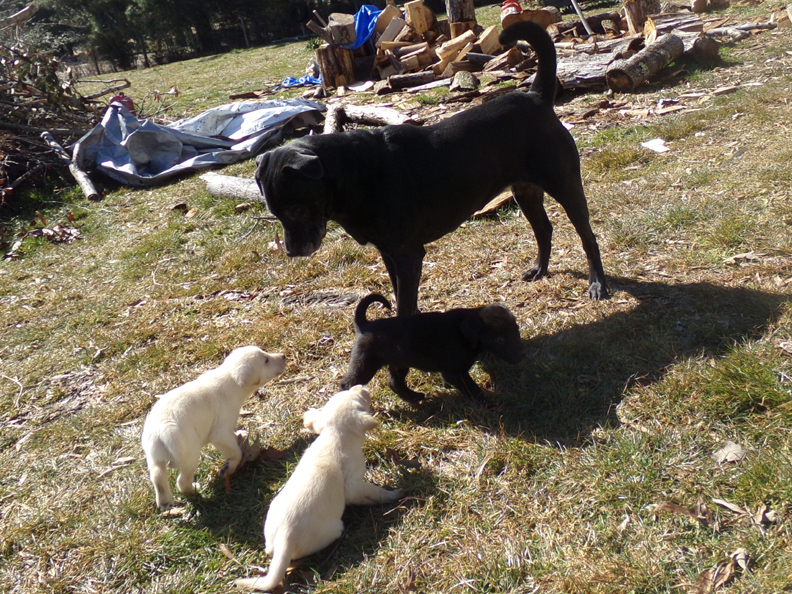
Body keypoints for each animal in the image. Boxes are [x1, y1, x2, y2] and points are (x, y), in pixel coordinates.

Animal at [141, 346, 286, 509]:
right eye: (266, 360)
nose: (284, 356)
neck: (230, 381)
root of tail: (160, 431)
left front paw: (241, 434)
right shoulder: (220, 433)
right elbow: (235, 452)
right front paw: (229, 467)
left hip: (154, 457)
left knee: (158, 477)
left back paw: (164, 502)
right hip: (190, 454)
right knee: (182, 481)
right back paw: (194, 490)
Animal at [239, 385, 402, 592]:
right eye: (359, 400)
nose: (361, 387)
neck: (334, 437)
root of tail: (286, 535)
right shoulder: (354, 485)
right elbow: (374, 492)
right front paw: (393, 495)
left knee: (269, 549)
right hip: (334, 528)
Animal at [255, 21, 607, 317]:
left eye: (298, 209)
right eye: (276, 214)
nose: (291, 252)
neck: (352, 176)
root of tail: (536, 96)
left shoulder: (408, 253)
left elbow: (404, 305)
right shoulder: (389, 252)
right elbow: (401, 297)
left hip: (565, 184)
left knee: (587, 236)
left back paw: (597, 285)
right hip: (525, 192)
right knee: (544, 229)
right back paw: (540, 269)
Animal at [339, 293, 524, 404]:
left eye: (517, 330)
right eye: (499, 340)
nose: (521, 357)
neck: (463, 335)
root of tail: (365, 325)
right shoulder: (454, 372)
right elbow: (471, 388)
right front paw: (485, 402)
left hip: (400, 363)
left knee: (394, 382)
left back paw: (413, 397)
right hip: (364, 364)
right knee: (346, 383)